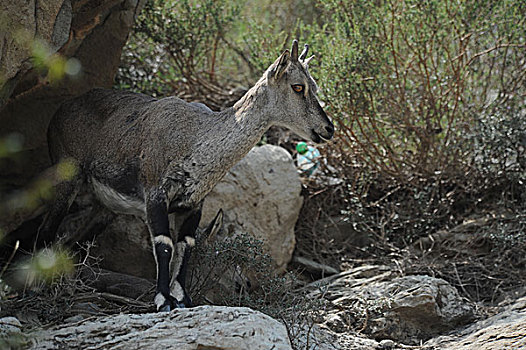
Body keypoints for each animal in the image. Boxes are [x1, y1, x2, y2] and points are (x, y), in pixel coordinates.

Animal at [39, 39, 334, 310]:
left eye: (315, 86)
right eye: (298, 86)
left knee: (76, 239)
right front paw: (163, 300)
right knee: (47, 228)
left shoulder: (193, 203)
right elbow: (164, 244)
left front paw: (182, 298)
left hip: (106, 207)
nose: (328, 129)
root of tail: (60, 111)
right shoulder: (155, 193)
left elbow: (186, 245)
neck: (196, 141)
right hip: (67, 174)